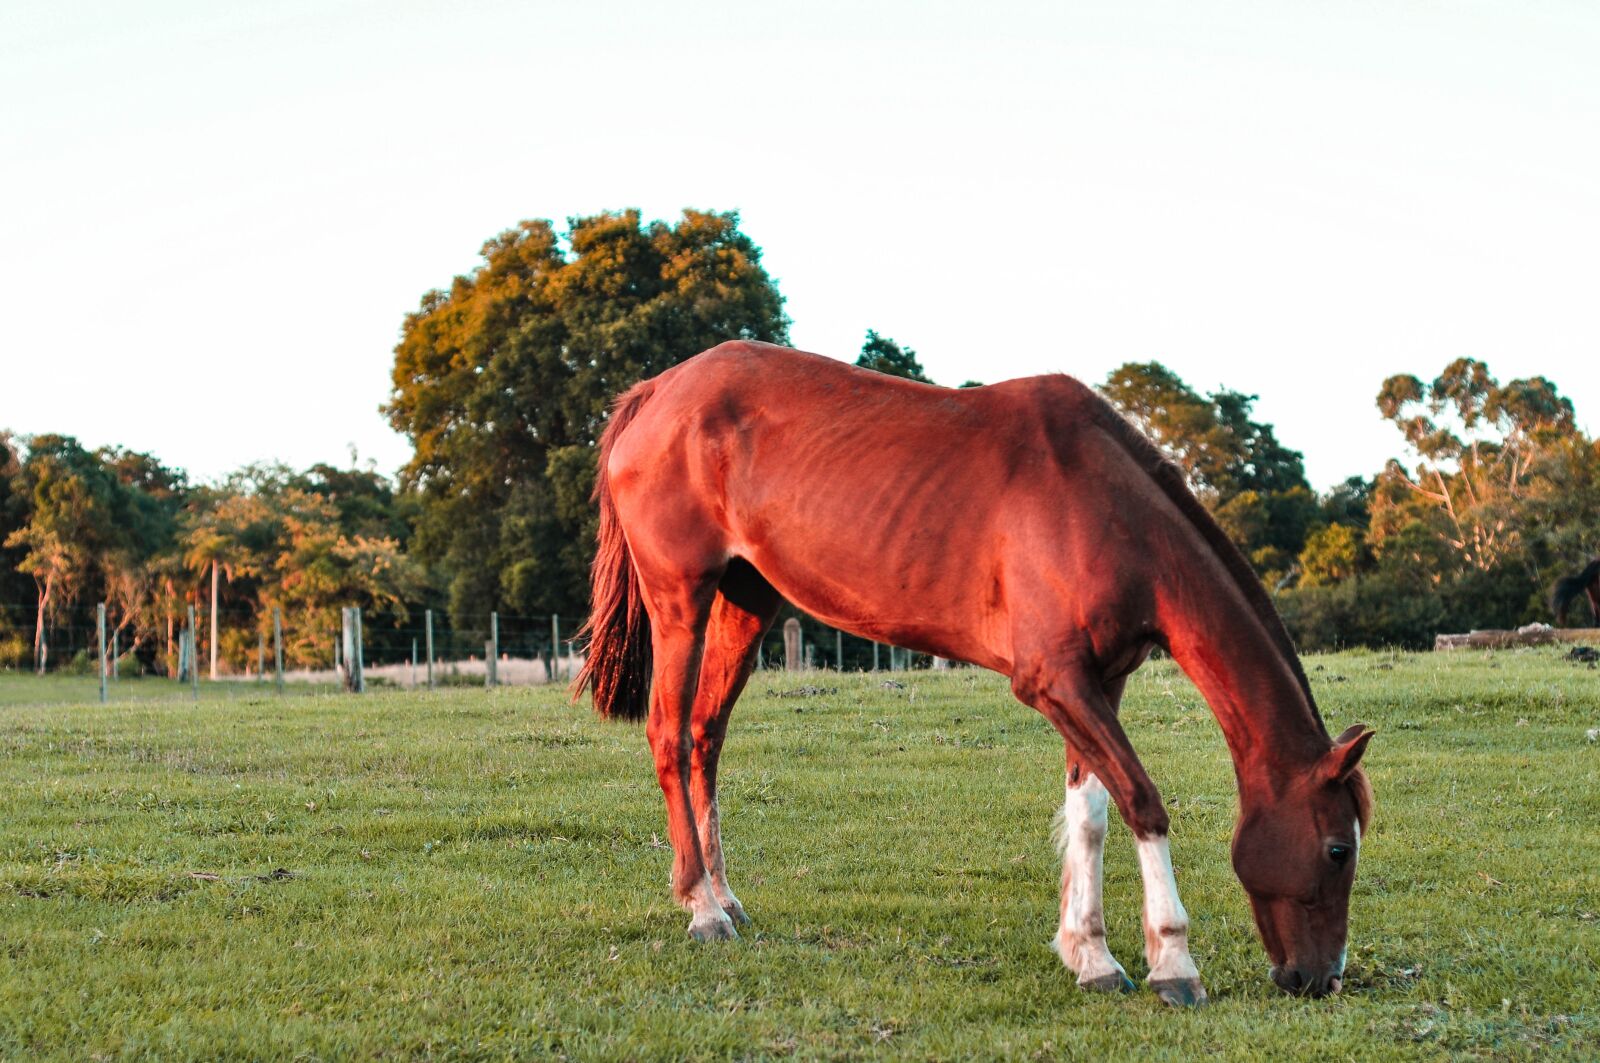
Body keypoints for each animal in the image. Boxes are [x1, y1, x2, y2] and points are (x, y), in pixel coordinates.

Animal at [574, 342, 1374, 1004]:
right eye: (1338, 848)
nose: (1322, 979)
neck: (1106, 508)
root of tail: (657, 390)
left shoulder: (1098, 682)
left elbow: (1090, 814)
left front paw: (1089, 954)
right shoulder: (1055, 682)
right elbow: (1143, 803)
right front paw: (1173, 963)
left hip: (747, 602)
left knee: (706, 736)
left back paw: (725, 895)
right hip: (681, 598)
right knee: (669, 734)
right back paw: (701, 907)